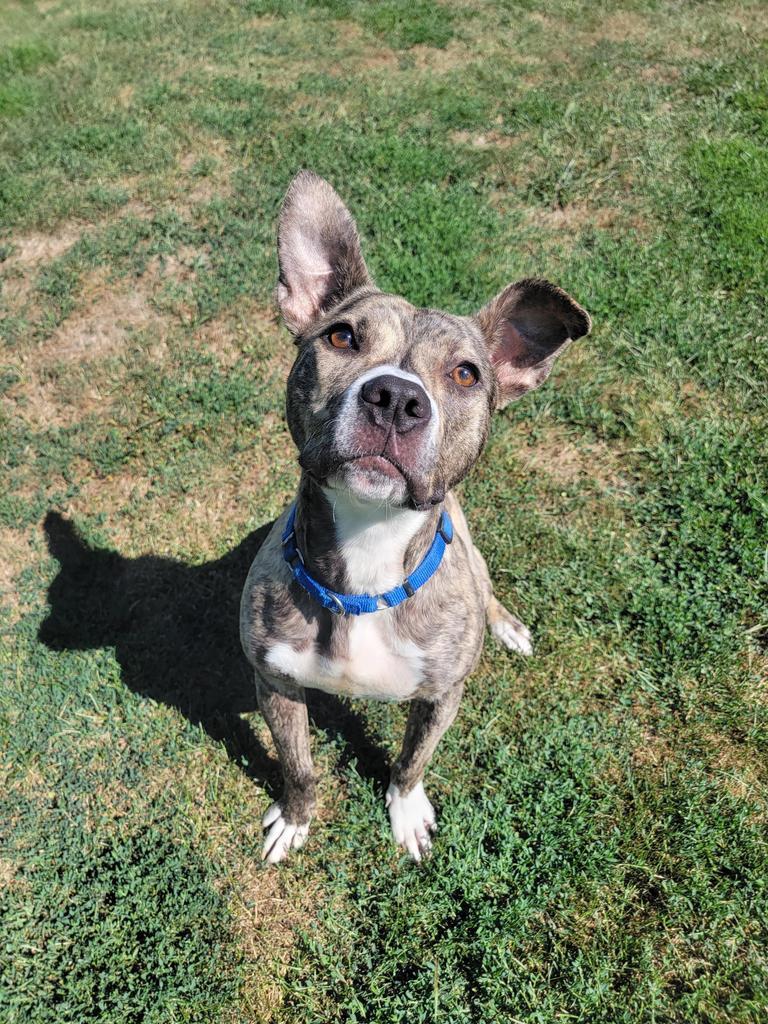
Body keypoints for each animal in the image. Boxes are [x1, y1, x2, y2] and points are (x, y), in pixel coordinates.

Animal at [240, 169, 593, 864]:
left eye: (466, 373)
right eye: (342, 336)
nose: (396, 397)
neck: (367, 555)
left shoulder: (440, 697)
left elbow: (409, 763)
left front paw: (406, 814)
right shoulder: (274, 683)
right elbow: (298, 765)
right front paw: (295, 818)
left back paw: (507, 626)